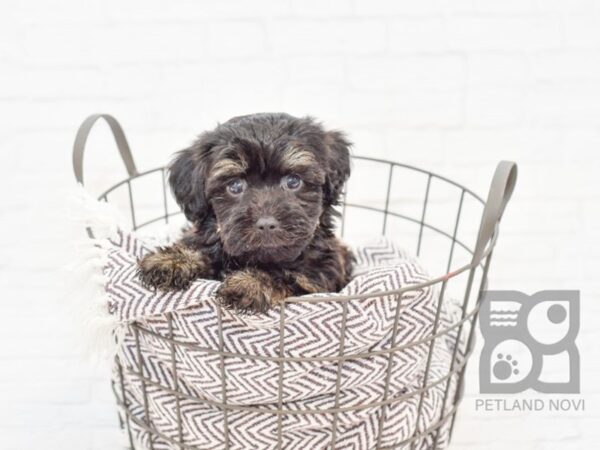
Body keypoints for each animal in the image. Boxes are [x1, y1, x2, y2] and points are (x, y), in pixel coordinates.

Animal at [138, 111, 354, 312]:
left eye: (293, 181)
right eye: (235, 185)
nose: (266, 224)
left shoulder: (317, 278)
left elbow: (288, 276)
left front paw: (250, 283)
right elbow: (200, 245)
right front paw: (172, 260)